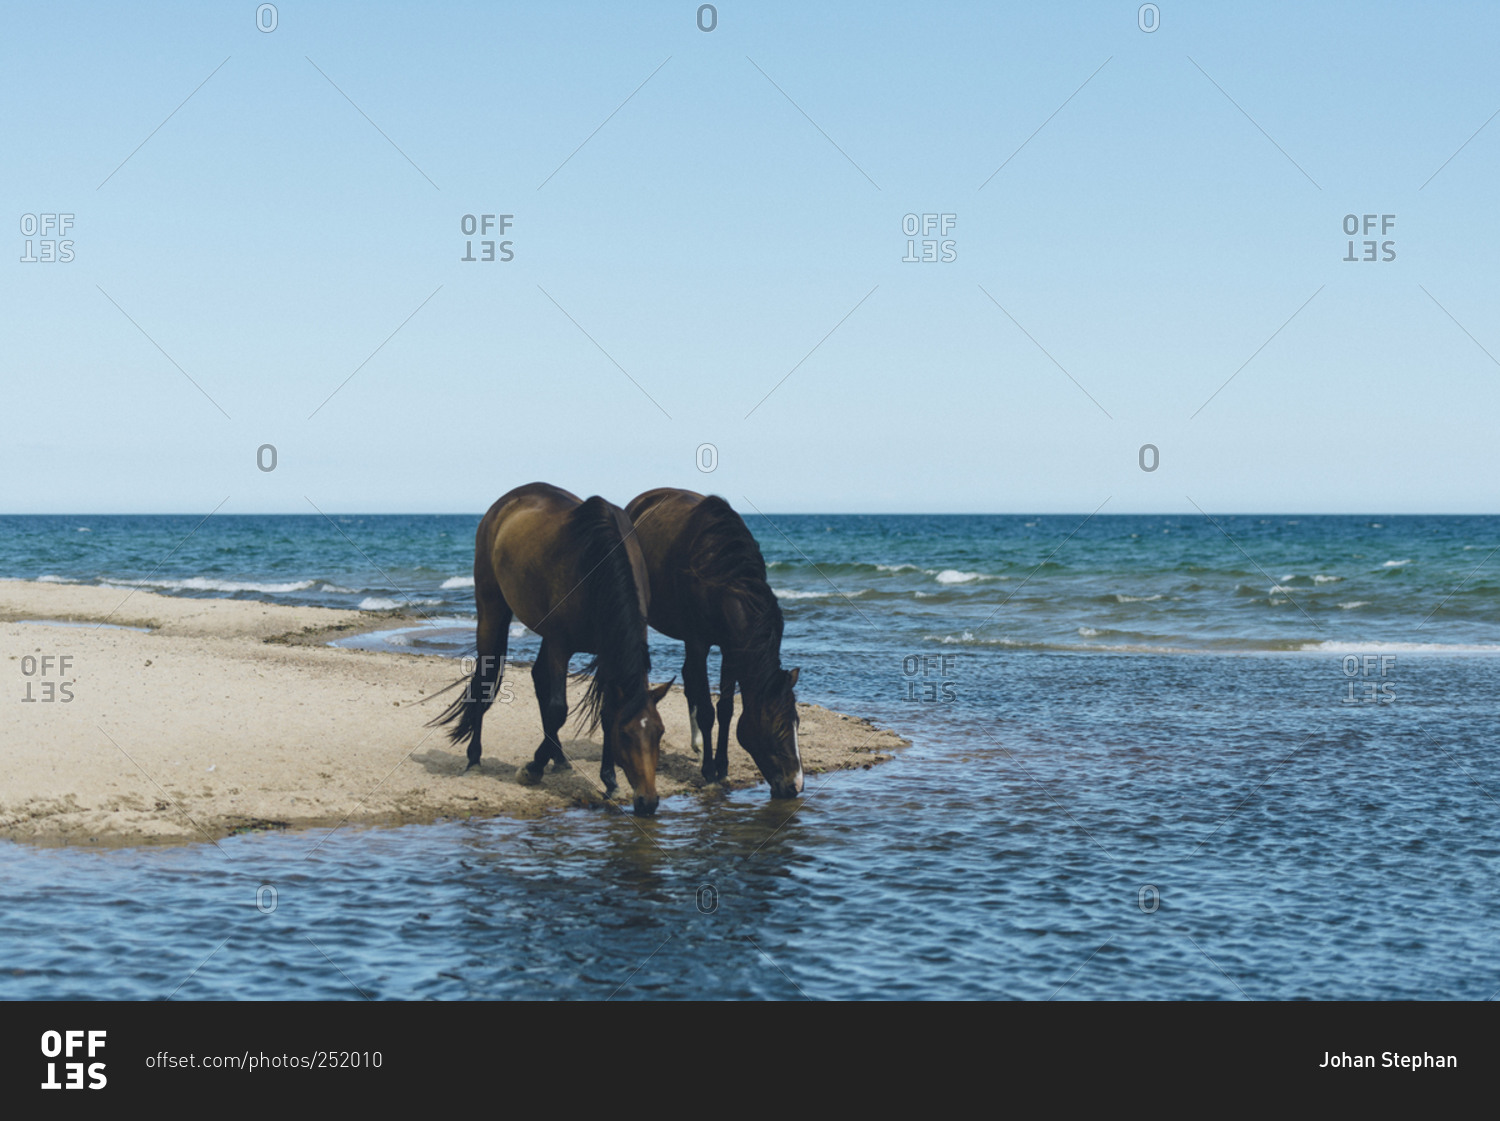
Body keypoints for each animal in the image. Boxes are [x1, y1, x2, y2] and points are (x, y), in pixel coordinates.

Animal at [432, 483, 672, 816]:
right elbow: (559, 709)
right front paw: (532, 769)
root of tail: (504, 503)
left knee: (536, 677)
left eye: (659, 732)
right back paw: (474, 759)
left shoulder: (609, 651)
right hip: (492, 608)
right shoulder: (561, 645)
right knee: (485, 680)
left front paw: (609, 780)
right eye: (626, 735)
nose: (648, 802)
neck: (598, 563)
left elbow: (606, 710)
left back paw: (558, 758)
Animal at [624, 489, 804, 798]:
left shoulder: (732, 647)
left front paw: (722, 767)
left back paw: (697, 744)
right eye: (778, 726)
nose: (795, 785)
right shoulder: (699, 642)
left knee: (688, 677)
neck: (723, 579)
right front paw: (709, 772)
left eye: (797, 723)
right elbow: (709, 710)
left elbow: (726, 709)